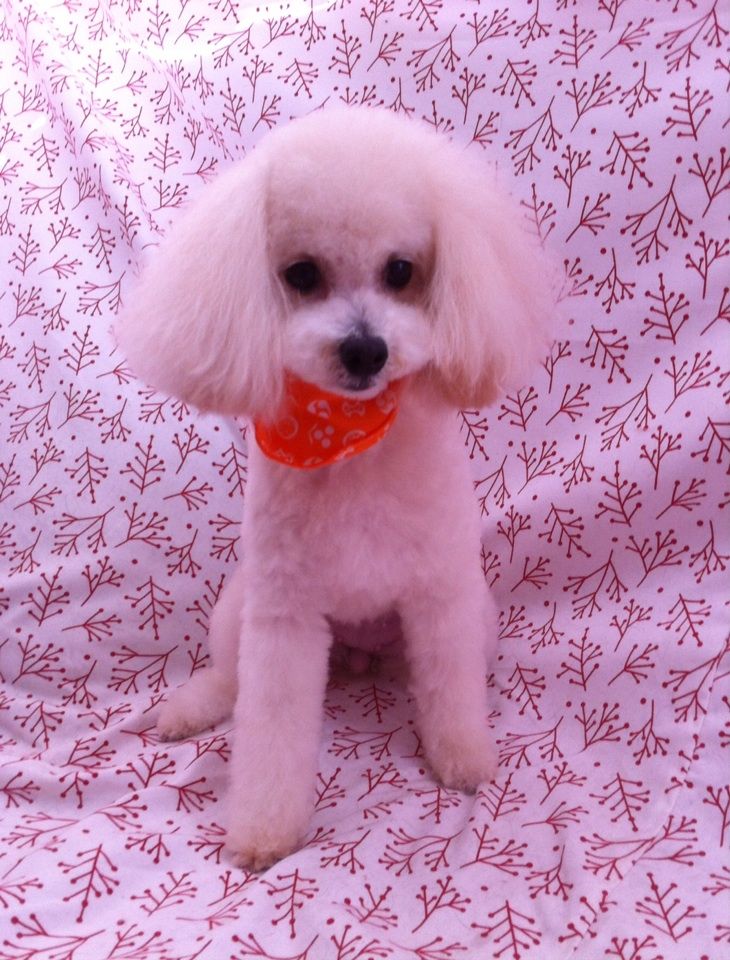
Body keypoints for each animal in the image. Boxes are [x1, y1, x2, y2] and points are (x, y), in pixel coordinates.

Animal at [116, 107, 551, 869]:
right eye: (302, 273)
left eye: (401, 270)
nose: (364, 350)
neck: (351, 448)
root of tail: (356, 651)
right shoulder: (284, 615)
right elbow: (270, 727)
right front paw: (263, 830)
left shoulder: (442, 592)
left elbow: (450, 688)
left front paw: (462, 759)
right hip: (241, 603)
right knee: (229, 676)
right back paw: (191, 708)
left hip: (477, 613)